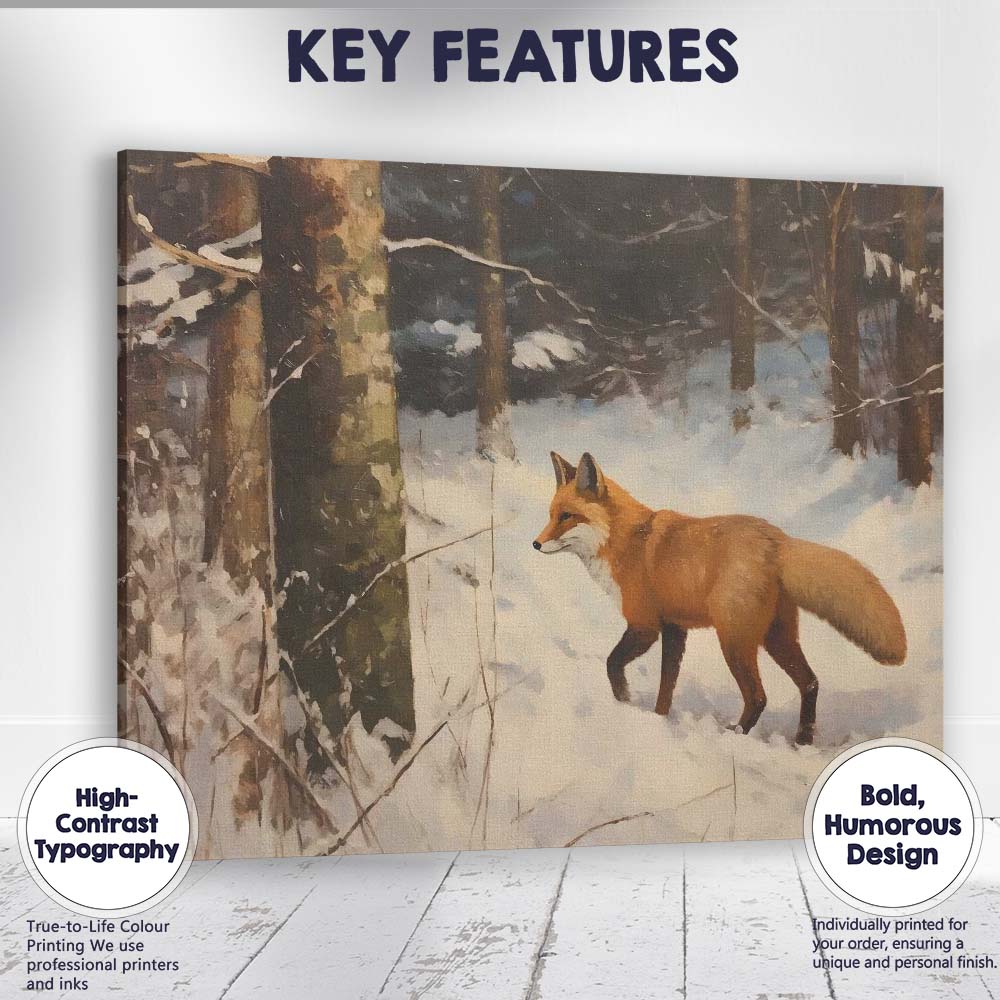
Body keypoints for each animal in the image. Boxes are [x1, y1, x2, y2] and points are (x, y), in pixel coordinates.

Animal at [533, 451, 907, 745]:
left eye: (567, 517)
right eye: (551, 515)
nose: (535, 544)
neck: (626, 541)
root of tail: (777, 539)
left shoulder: (645, 625)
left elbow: (612, 663)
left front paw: (624, 699)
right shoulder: (674, 628)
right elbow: (666, 687)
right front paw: (659, 720)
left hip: (734, 642)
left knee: (758, 697)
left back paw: (736, 735)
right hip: (777, 638)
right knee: (810, 683)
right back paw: (803, 740)